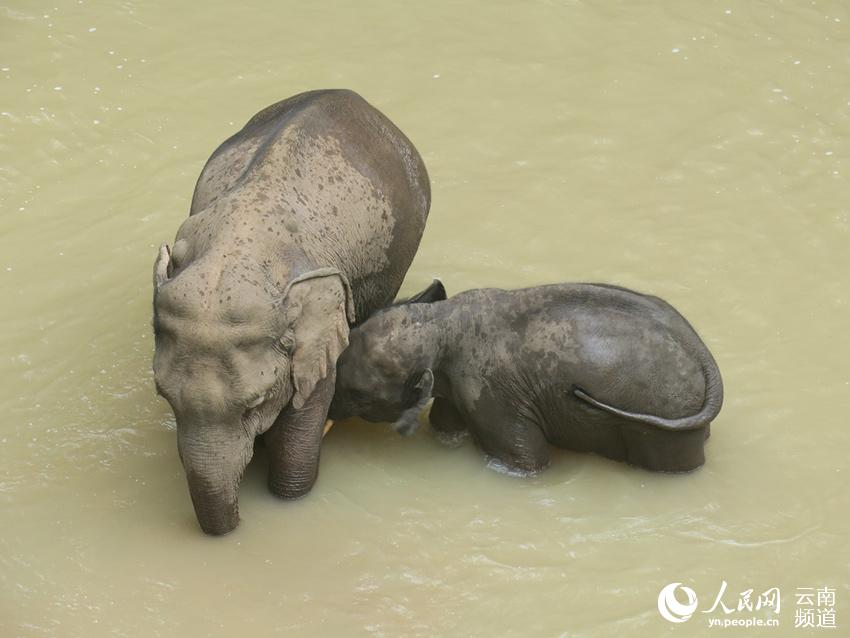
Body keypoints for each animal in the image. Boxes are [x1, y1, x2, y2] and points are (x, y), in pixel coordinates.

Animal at [152, 89, 431, 535]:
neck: (237, 252)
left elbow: (299, 434)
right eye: (165, 398)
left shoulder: (322, 329)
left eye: (255, 403)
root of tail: (352, 96)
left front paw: (287, 491)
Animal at [329, 282, 724, 474]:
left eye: (357, 395)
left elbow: (527, 461)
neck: (441, 322)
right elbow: (445, 425)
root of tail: (703, 354)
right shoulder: (460, 388)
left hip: (666, 416)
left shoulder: (490, 393)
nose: (329, 414)